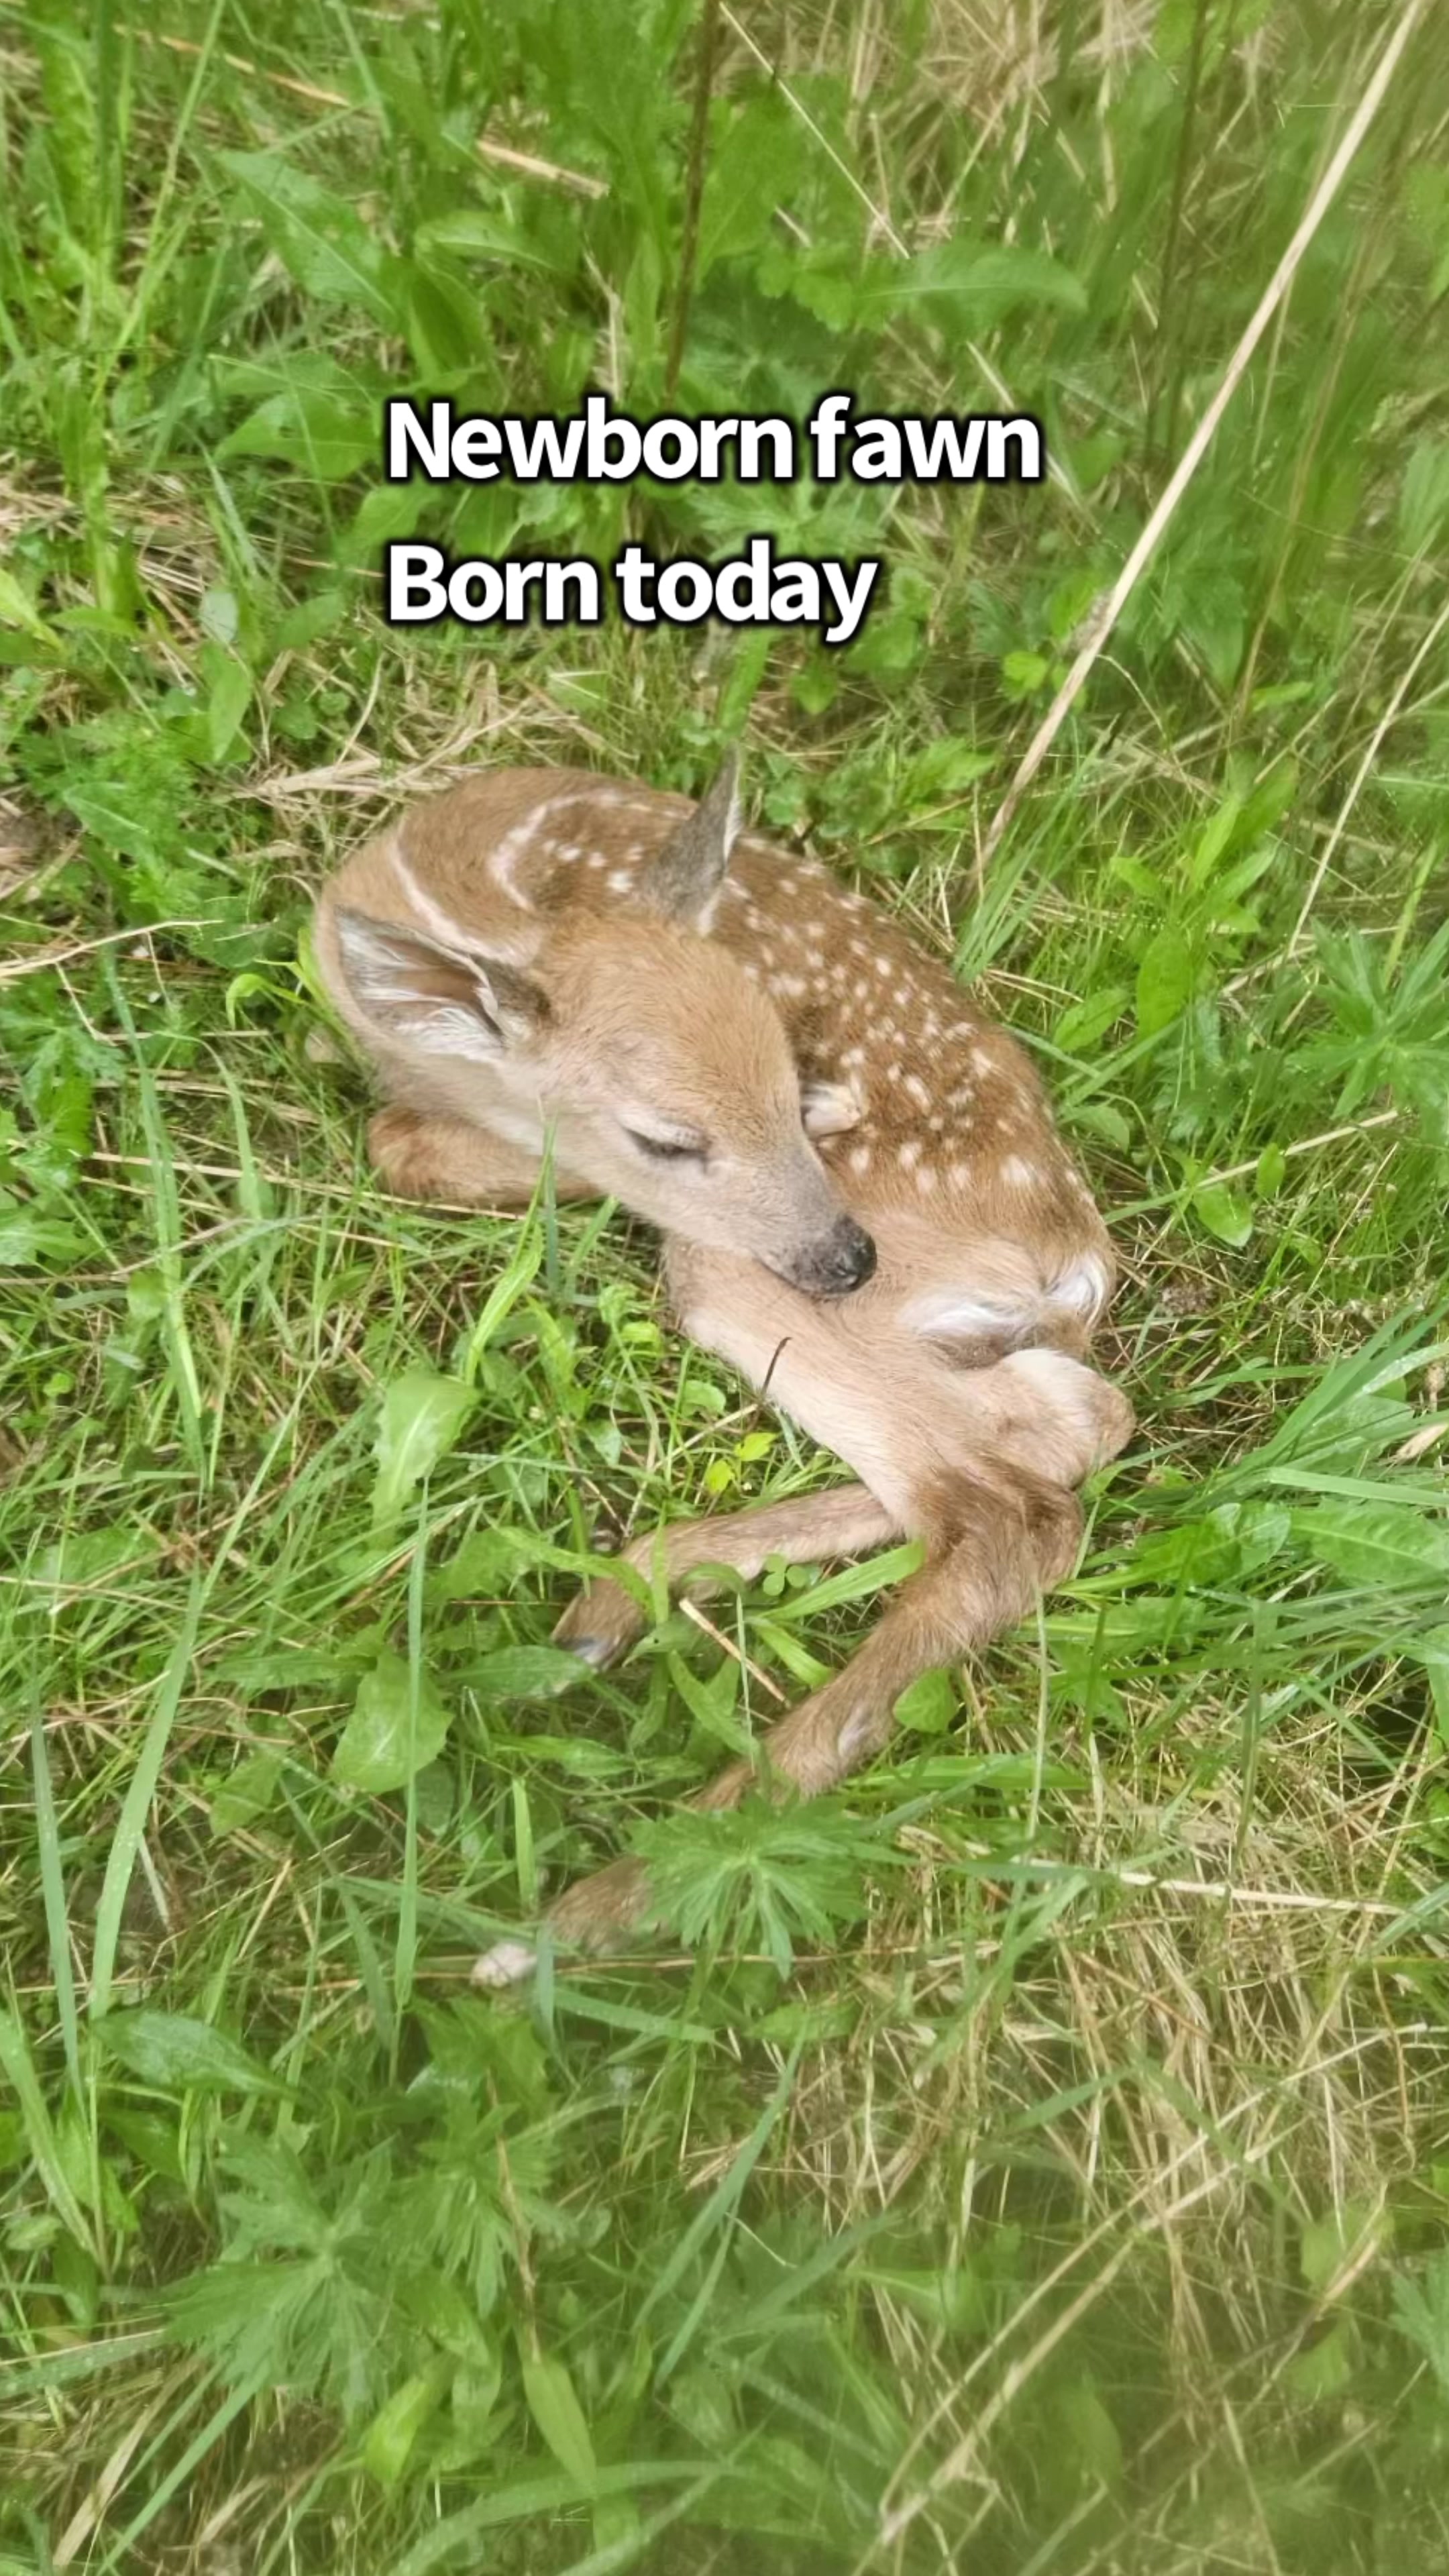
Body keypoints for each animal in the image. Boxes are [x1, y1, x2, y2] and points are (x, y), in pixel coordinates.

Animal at [312, 751, 1134, 1984]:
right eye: (669, 1136)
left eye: (796, 1083)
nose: (846, 1254)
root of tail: (1074, 1261)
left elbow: (396, 1142)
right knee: (1063, 1431)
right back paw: (616, 1604)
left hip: (747, 1276)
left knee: (1009, 1511)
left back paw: (587, 1914)